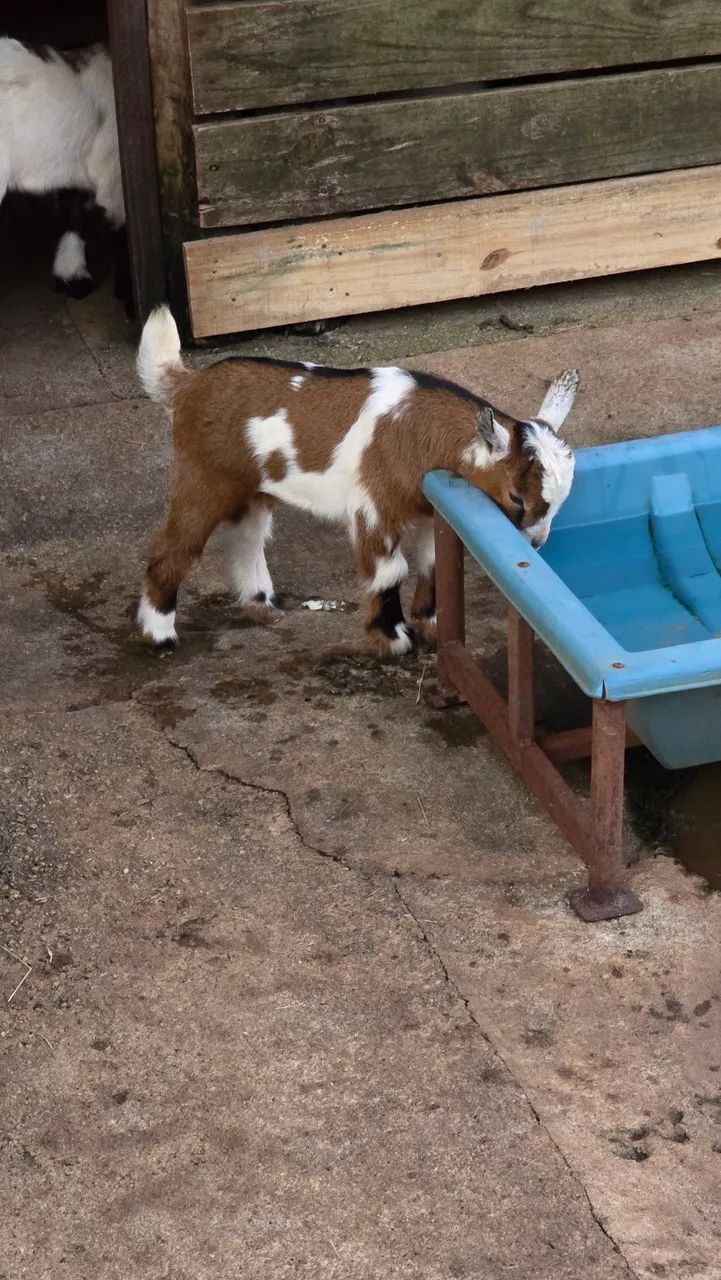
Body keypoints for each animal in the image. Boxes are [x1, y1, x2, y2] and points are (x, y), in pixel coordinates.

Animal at [136, 306, 578, 656]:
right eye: (517, 497)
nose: (535, 545)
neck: (413, 428)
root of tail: (188, 385)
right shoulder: (374, 507)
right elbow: (390, 572)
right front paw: (394, 639)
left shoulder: (430, 510)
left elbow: (433, 564)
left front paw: (431, 626)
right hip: (203, 478)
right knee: (174, 548)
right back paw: (160, 636)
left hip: (254, 489)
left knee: (248, 538)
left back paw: (263, 606)